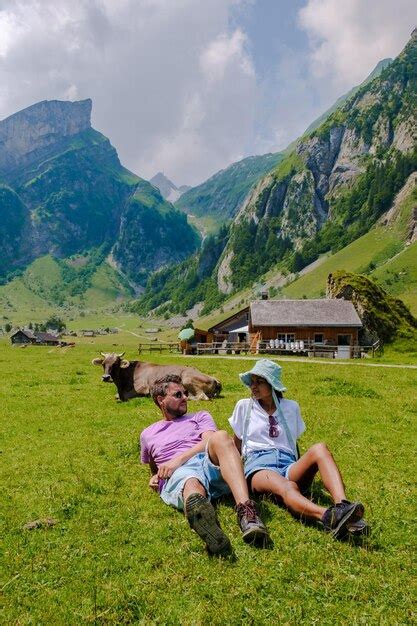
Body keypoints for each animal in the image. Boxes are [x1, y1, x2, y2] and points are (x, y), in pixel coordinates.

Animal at [91, 352, 221, 400]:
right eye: (103, 364)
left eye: (116, 364)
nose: (106, 377)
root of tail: (214, 378)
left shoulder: (143, 389)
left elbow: (122, 396)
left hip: (187, 378)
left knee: (202, 396)